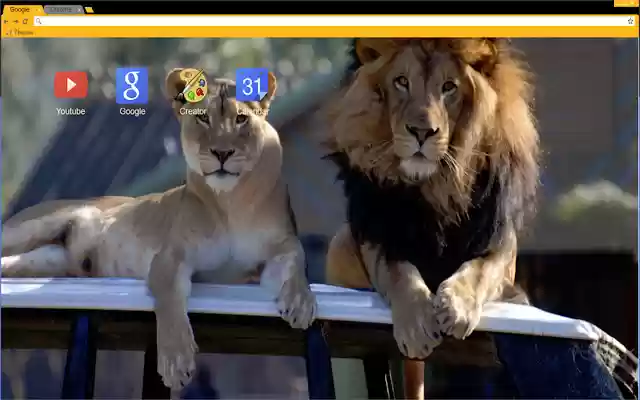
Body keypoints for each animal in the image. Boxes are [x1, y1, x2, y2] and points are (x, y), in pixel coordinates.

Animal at [1, 69, 317, 393]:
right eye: (203, 118)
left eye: (241, 119)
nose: (222, 152)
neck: (230, 202)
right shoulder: (170, 257)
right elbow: (170, 301)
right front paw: (176, 361)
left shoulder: (274, 250)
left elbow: (297, 256)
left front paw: (301, 302)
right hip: (33, 227)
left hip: (43, 262)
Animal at [324, 38, 539, 399]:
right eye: (401, 82)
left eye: (449, 87)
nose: (422, 132)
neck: (437, 186)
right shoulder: (379, 236)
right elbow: (399, 273)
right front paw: (417, 323)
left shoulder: (498, 244)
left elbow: (479, 271)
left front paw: (457, 306)